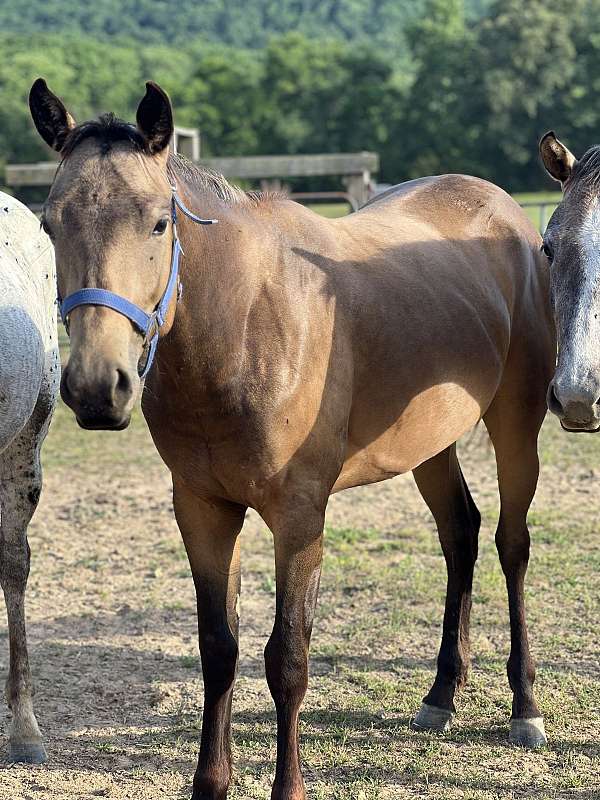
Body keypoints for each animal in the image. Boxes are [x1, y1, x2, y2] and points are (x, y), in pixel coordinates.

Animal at [29, 77, 555, 799]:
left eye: (159, 222)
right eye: (50, 224)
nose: (94, 387)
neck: (247, 325)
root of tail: (507, 213)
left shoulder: (299, 515)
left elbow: (287, 660)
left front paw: (288, 786)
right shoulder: (203, 509)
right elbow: (218, 648)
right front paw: (210, 783)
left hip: (515, 424)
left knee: (511, 543)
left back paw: (524, 707)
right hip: (430, 443)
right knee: (461, 534)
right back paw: (441, 694)